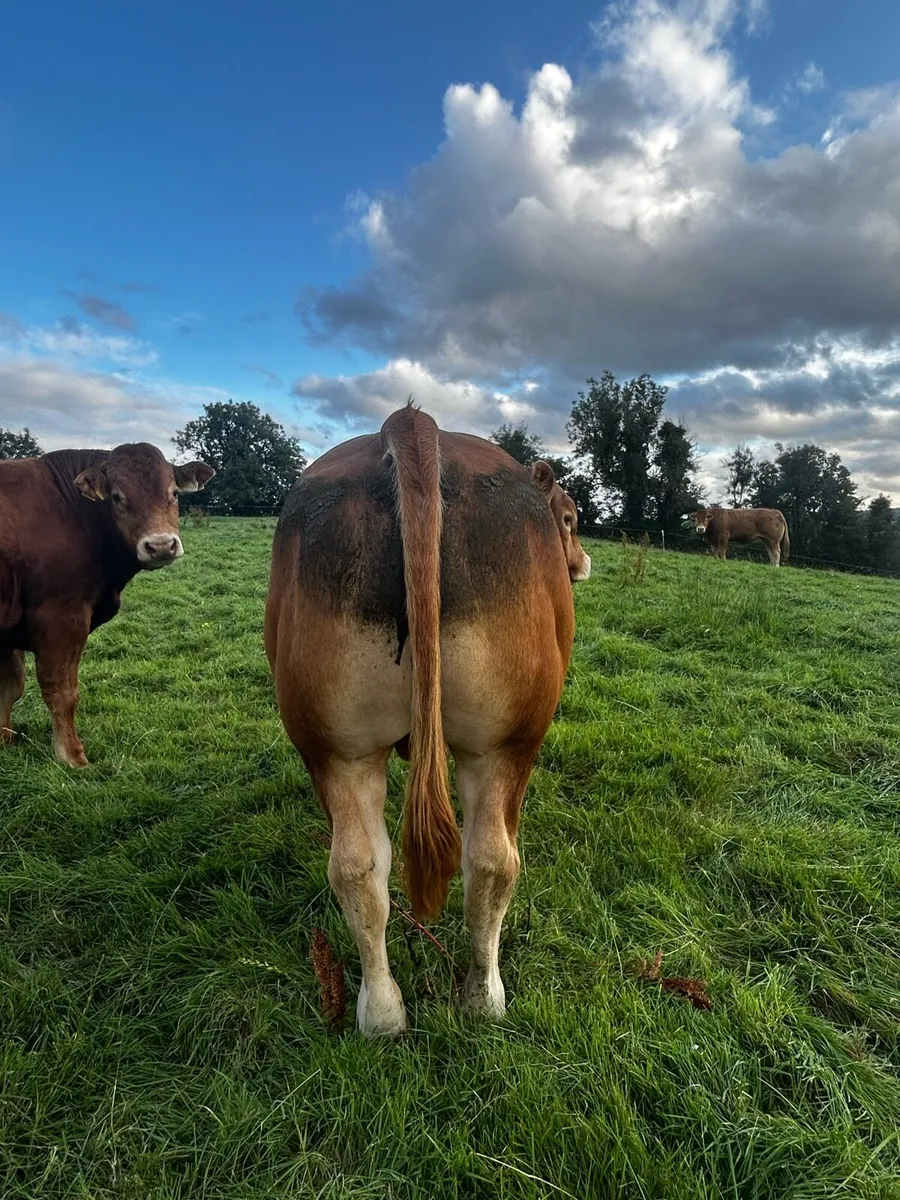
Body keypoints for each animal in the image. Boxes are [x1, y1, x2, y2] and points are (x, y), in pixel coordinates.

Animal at [0, 443, 214, 766]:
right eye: (116, 496)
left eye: (174, 492)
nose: (161, 545)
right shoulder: (62, 617)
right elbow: (61, 692)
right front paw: (72, 756)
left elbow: (10, 687)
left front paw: (3, 739)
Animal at [265, 402, 591, 1036]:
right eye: (569, 517)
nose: (583, 562)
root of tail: (412, 425)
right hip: (510, 744)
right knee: (494, 860)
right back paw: (484, 998)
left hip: (338, 747)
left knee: (364, 868)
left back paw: (385, 1015)